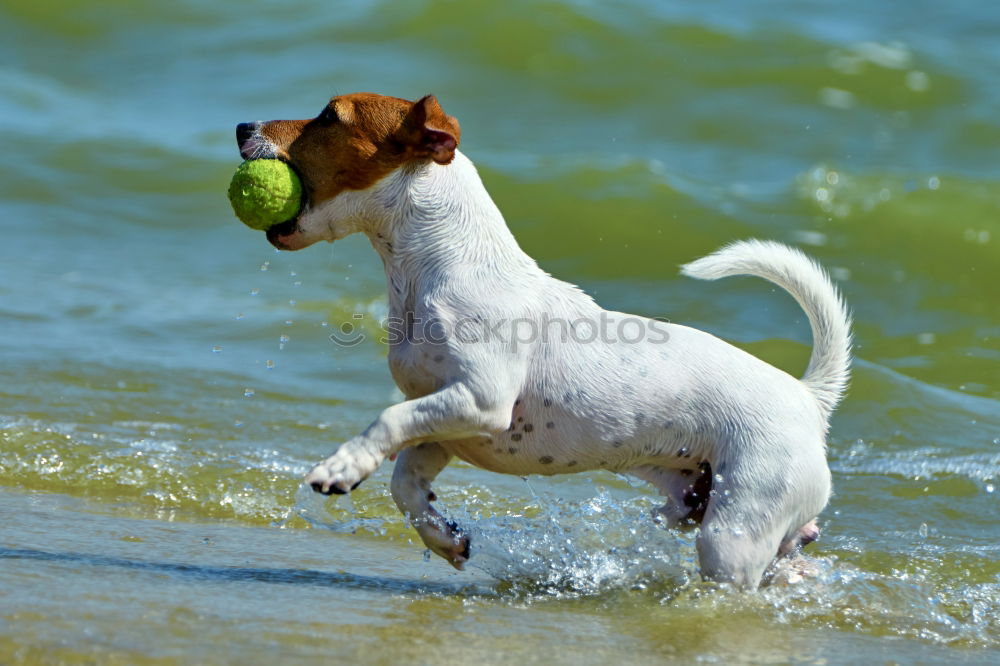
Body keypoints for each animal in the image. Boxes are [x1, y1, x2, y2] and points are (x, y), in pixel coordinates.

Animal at [236, 93, 852, 588]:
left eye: (328, 116)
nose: (242, 125)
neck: (439, 268)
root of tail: (808, 397)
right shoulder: (451, 423)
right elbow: (405, 482)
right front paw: (444, 538)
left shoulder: (481, 401)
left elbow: (386, 421)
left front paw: (341, 467)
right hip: (709, 508)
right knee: (794, 550)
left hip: (733, 532)